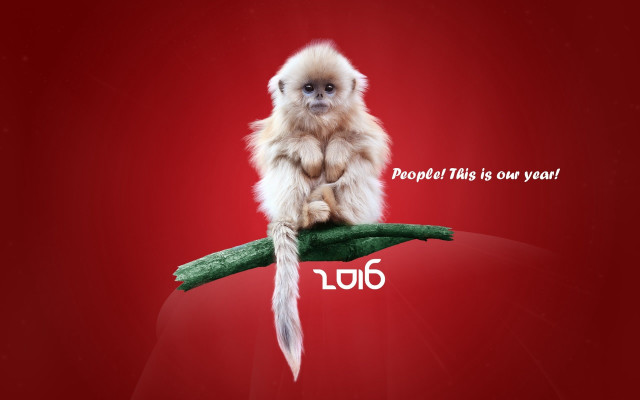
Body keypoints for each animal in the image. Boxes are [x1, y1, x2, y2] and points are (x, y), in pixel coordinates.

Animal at [246, 41, 390, 380]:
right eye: (309, 88)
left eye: (329, 88)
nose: (321, 96)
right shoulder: (278, 129)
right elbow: (277, 149)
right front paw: (310, 150)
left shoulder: (362, 126)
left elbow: (367, 147)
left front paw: (335, 152)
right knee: (286, 163)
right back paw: (307, 217)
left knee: (357, 163)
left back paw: (340, 214)